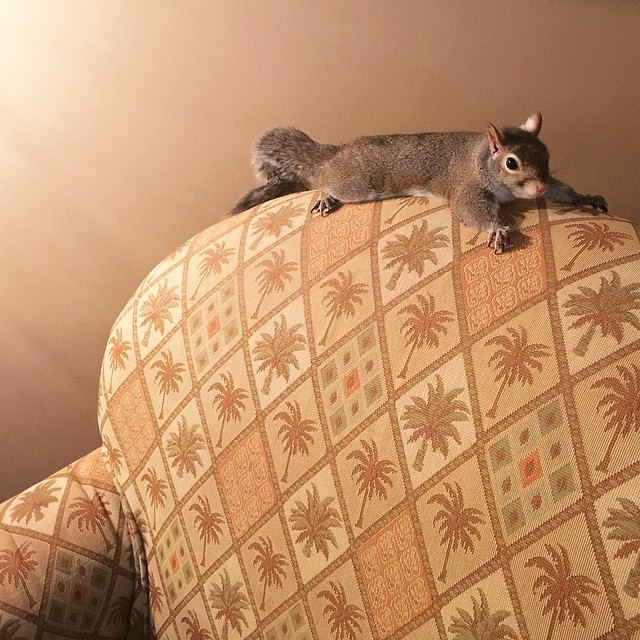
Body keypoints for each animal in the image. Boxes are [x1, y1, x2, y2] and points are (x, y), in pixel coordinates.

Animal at [230, 112, 608, 253]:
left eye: (546, 155)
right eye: (511, 163)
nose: (539, 189)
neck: (480, 158)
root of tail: (338, 152)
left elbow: (563, 190)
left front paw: (586, 197)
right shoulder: (467, 186)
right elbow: (471, 210)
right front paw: (497, 228)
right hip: (358, 183)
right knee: (326, 181)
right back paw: (326, 197)